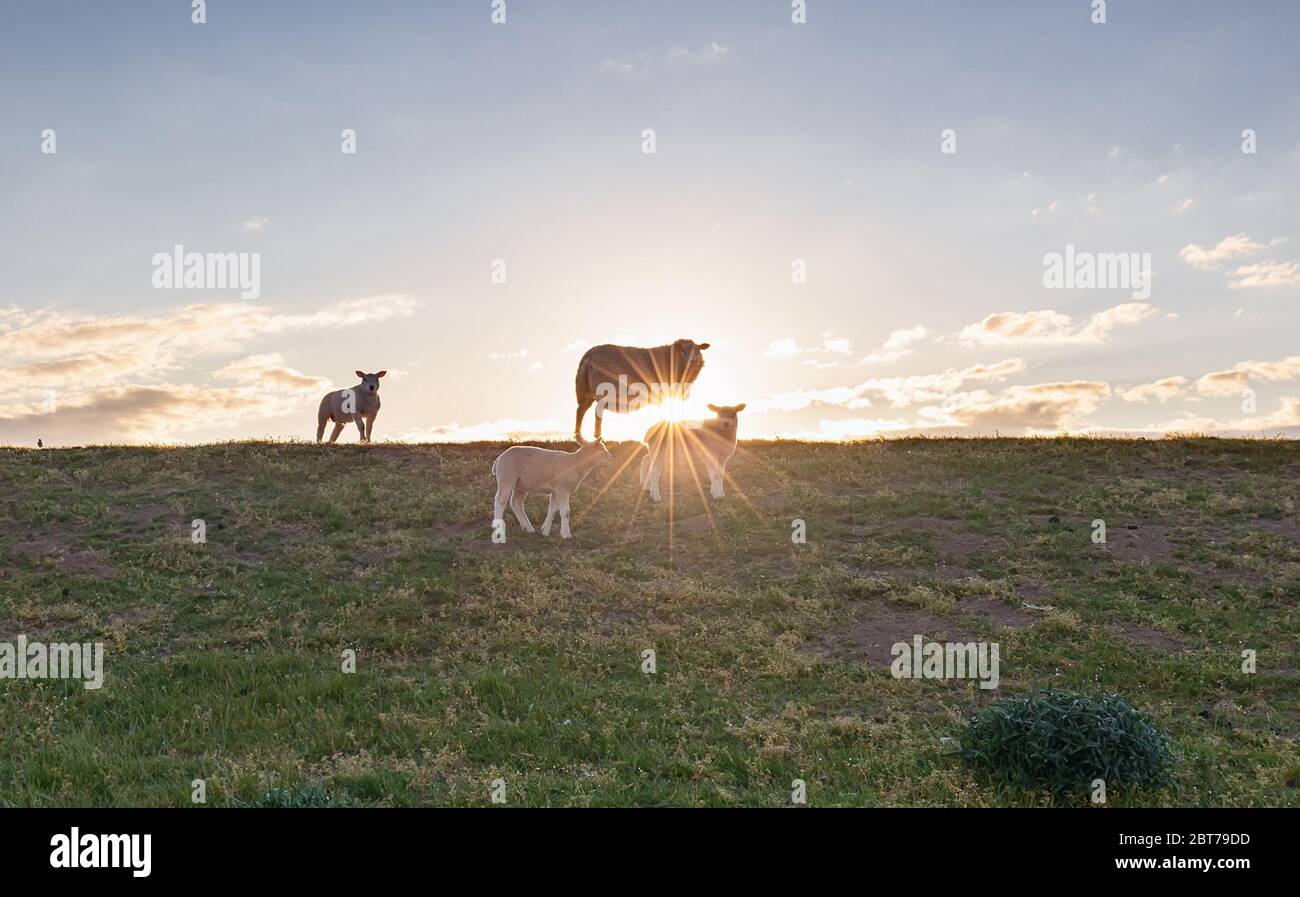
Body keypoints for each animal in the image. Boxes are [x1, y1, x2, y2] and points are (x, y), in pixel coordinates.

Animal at [572, 338, 712, 439]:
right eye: (683, 351)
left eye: (698, 350)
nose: (693, 361)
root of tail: (589, 355)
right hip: (603, 390)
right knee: (596, 412)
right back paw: (597, 436)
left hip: (585, 391)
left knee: (580, 411)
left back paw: (578, 435)